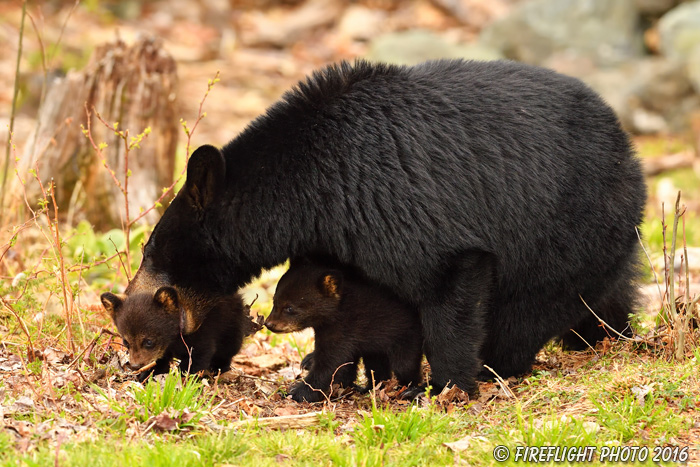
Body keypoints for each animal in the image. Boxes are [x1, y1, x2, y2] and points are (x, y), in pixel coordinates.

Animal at [101, 288, 249, 380]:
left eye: (149, 341)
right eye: (126, 342)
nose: (135, 366)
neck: (172, 340)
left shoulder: (202, 335)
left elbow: (197, 358)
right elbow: (159, 362)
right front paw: (147, 376)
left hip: (231, 327)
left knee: (228, 349)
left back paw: (218, 368)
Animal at [266, 260, 424, 402]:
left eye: (289, 307)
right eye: (274, 301)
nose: (269, 324)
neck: (337, 310)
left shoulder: (344, 329)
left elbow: (330, 364)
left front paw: (297, 392)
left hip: (406, 336)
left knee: (404, 365)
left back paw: (407, 389)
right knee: (376, 366)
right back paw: (370, 388)